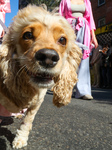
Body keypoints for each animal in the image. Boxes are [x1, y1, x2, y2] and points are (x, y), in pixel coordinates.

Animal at [0, 4, 82, 149]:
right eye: (27, 35)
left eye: (62, 39)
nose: (48, 57)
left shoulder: (37, 103)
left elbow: (27, 121)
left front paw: (20, 139)